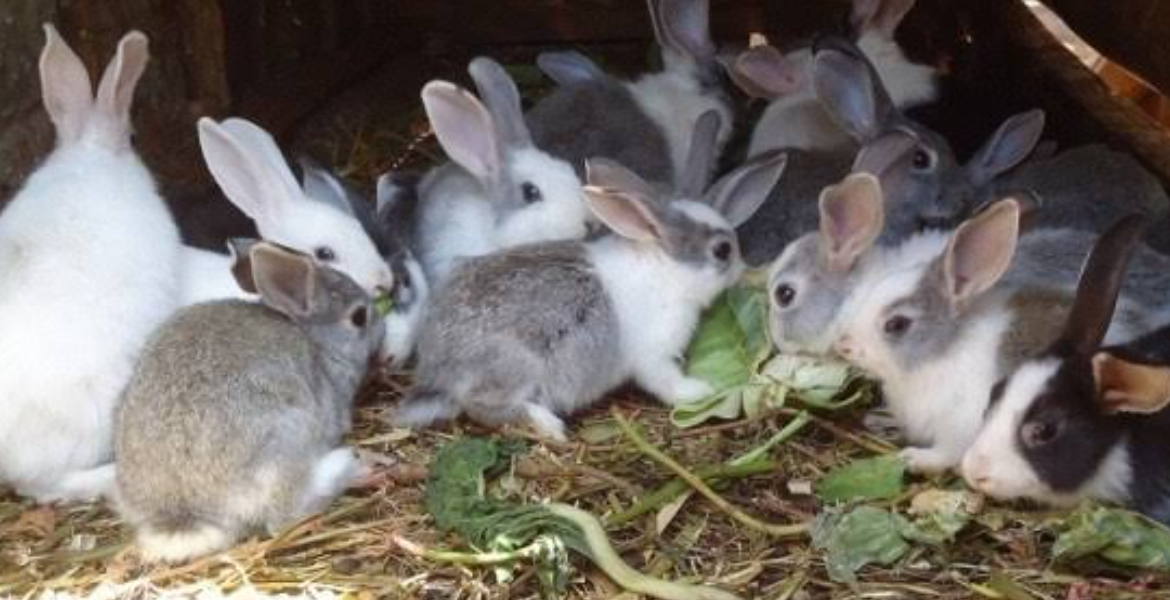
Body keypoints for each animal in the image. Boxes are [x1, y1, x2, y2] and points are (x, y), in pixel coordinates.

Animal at [114, 241, 384, 563]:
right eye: (358, 317)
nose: (382, 329)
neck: (314, 338)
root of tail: (184, 509)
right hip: (287, 438)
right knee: (285, 515)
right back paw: (353, 466)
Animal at [393, 114, 788, 440]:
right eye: (722, 251)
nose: (744, 270)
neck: (666, 267)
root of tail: (439, 371)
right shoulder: (654, 356)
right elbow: (667, 381)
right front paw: (701, 391)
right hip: (515, 367)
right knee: (487, 406)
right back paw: (550, 426)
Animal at [832, 201, 1170, 475]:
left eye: (897, 324)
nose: (843, 345)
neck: (943, 351)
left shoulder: (960, 428)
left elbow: (945, 454)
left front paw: (914, 458)